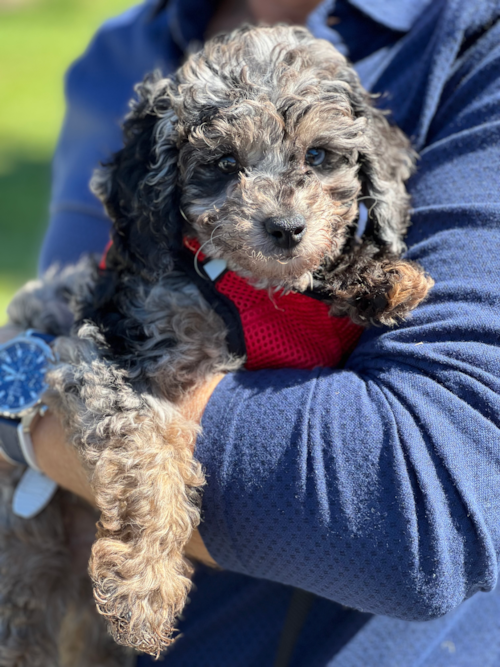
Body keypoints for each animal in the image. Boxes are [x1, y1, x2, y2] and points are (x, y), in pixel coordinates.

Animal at [3, 24, 432, 664]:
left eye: (317, 156)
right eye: (226, 163)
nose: (285, 229)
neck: (250, 288)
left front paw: (377, 275)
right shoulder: (106, 350)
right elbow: (146, 450)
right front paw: (145, 585)